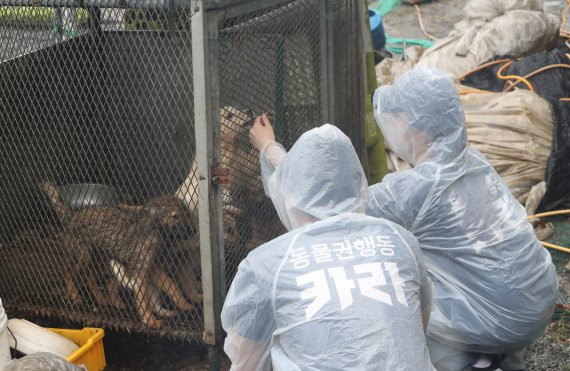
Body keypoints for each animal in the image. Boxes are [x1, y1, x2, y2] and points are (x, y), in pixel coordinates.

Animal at [40, 182, 195, 330]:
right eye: (175, 216)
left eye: (187, 214)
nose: (193, 231)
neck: (155, 230)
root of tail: (72, 216)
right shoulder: (140, 273)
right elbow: (144, 300)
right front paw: (150, 320)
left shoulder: (154, 269)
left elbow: (172, 286)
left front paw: (185, 304)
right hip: (83, 256)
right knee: (68, 272)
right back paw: (73, 294)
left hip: (101, 261)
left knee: (95, 279)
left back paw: (104, 299)